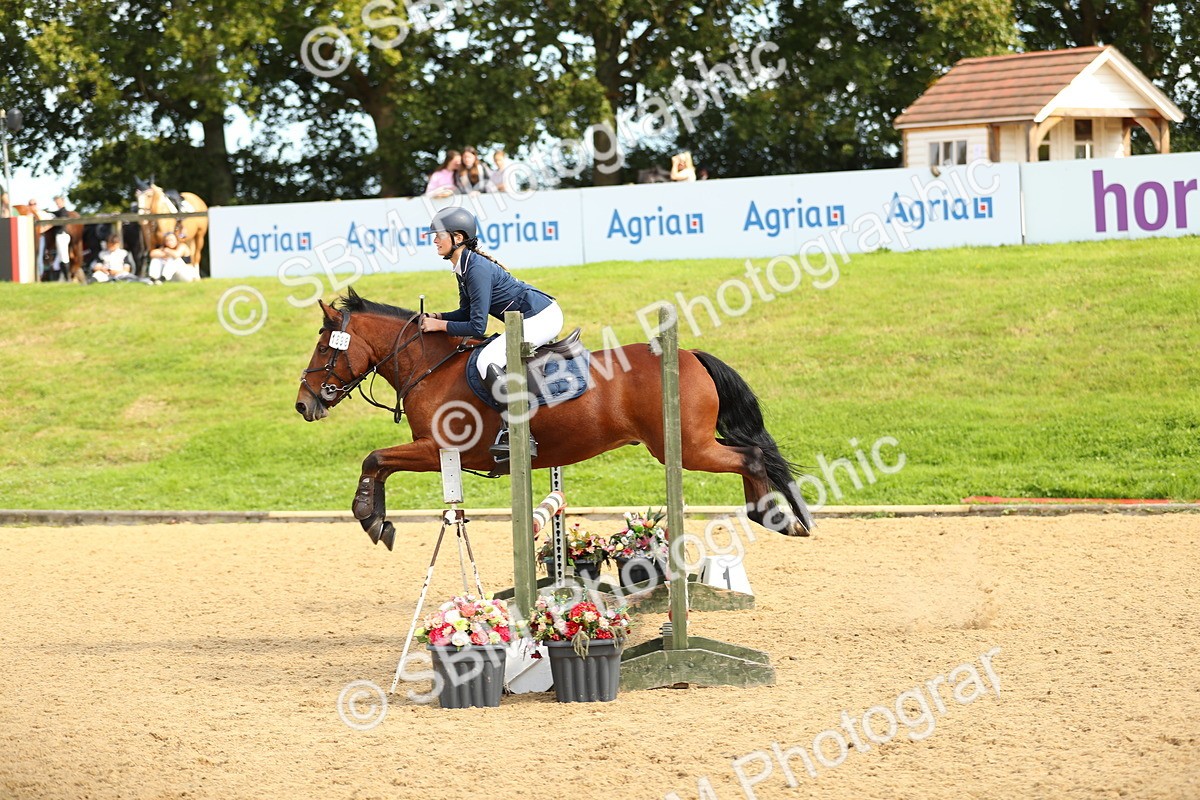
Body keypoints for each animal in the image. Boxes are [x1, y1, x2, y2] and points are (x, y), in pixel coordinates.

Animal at [294, 289, 815, 549]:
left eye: (322, 347)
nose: (303, 405)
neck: (431, 366)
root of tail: (689, 356)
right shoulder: (433, 452)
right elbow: (379, 462)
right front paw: (378, 520)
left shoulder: (437, 448)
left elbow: (374, 458)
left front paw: (369, 516)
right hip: (688, 446)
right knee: (752, 454)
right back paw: (776, 517)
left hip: (684, 447)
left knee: (751, 456)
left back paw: (774, 518)